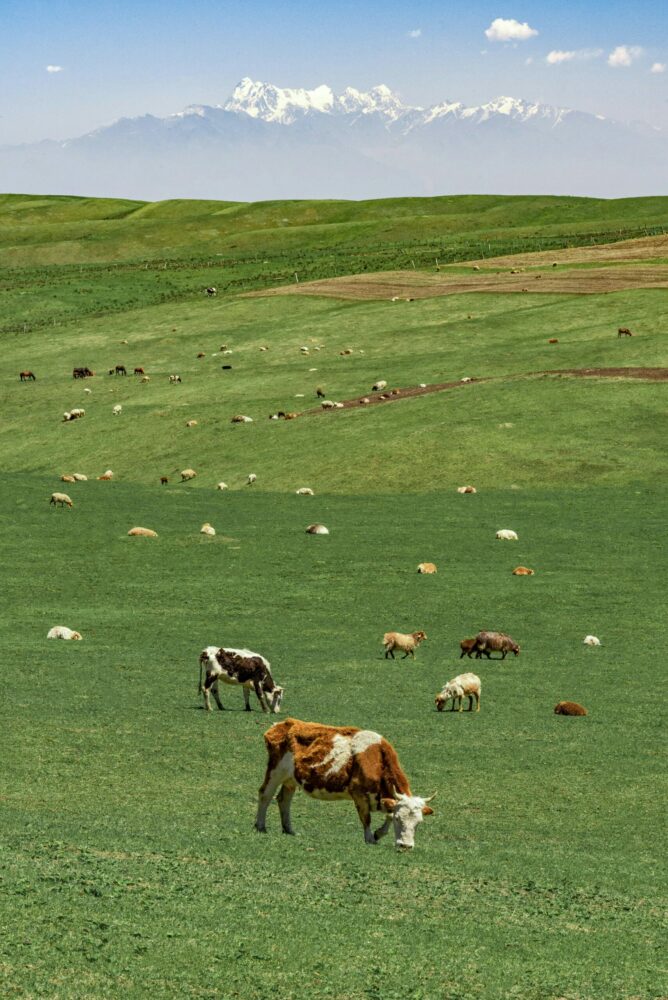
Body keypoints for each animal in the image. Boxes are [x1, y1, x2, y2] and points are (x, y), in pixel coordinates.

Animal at [254, 717, 435, 849]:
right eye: (399, 819)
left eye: (419, 823)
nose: (406, 846)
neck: (378, 759)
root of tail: (282, 724)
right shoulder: (358, 793)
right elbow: (366, 818)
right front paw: (370, 838)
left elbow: (387, 816)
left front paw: (378, 834)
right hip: (275, 771)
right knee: (265, 795)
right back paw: (260, 826)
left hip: (290, 779)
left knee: (284, 800)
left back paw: (289, 830)